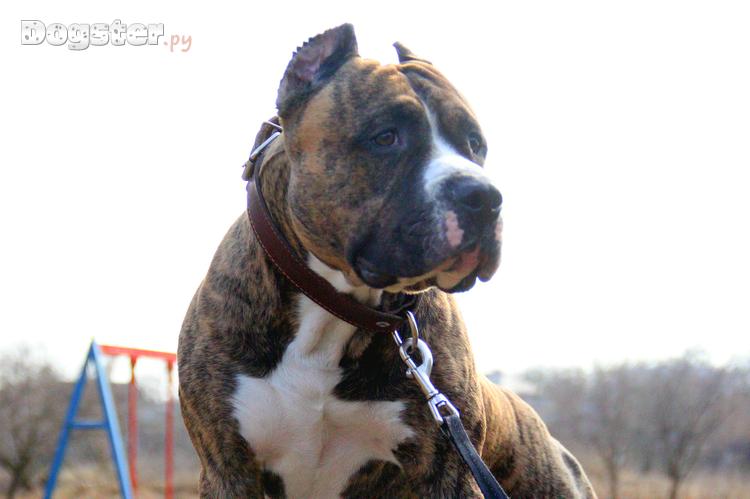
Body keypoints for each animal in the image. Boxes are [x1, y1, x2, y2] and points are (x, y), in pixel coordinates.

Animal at [178, 24, 596, 498]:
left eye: (475, 144)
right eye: (385, 137)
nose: (485, 197)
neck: (334, 311)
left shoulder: (449, 475)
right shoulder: (228, 468)